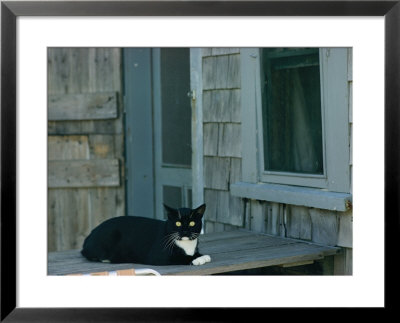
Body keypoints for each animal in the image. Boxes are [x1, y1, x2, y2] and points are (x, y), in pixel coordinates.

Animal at [82, 204, 212, 268]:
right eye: (178, 223)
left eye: (192, 223)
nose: (185, 231)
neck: (186, 244)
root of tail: (89, 236)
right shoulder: (159, 256)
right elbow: (180, 257)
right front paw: (198, 259)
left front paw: (200, 255)